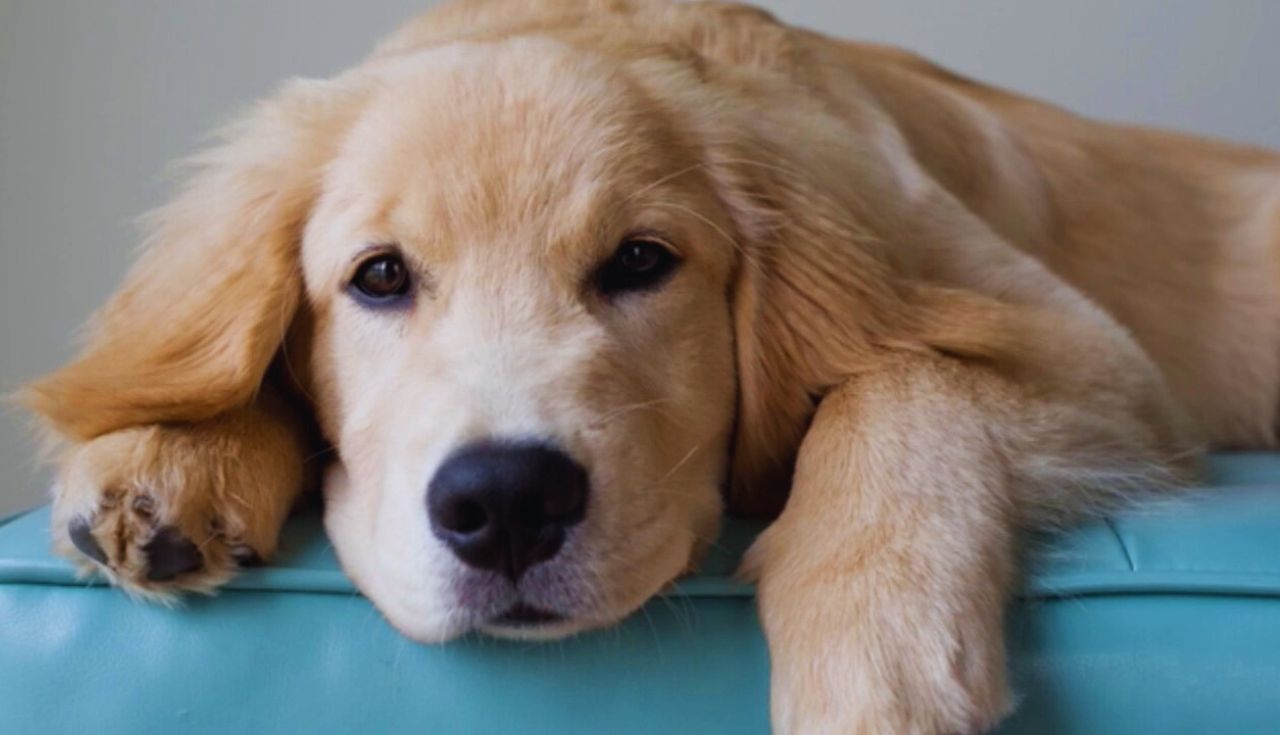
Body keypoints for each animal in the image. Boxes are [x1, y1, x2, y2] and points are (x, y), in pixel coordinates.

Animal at [22, 0, 1280, 732]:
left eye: (639, 262)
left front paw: (877, 657)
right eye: (377, 277)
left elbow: (903, 381)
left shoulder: (1093, 357)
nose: (505, 505)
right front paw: (172, 454)